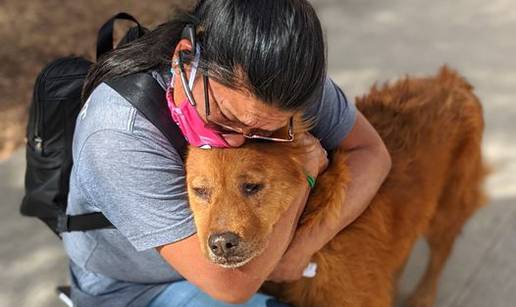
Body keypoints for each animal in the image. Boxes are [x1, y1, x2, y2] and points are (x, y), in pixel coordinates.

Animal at [184, 67, 488, 307]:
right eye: (200, 191)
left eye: (251, 186)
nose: (221, 244)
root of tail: (450, 80)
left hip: (447, 209)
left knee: (440, 253)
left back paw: (423, 296)